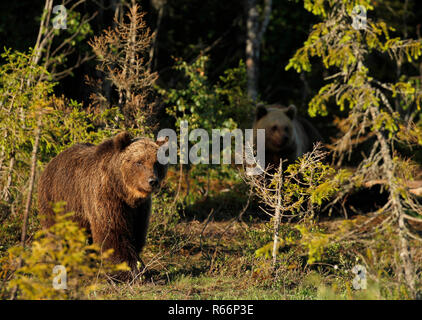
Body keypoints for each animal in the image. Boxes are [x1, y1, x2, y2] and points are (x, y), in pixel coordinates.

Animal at [37, 131, 166, 278]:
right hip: (55, 200)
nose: (152, 181)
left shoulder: (139, 209)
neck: (123, 191)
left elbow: (137, 232)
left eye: (157, 163)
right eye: (139, 162)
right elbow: (112, 232)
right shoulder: (105, 196)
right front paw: (127, 270)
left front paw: (139, 266)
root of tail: (51, 162)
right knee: (55, 232)